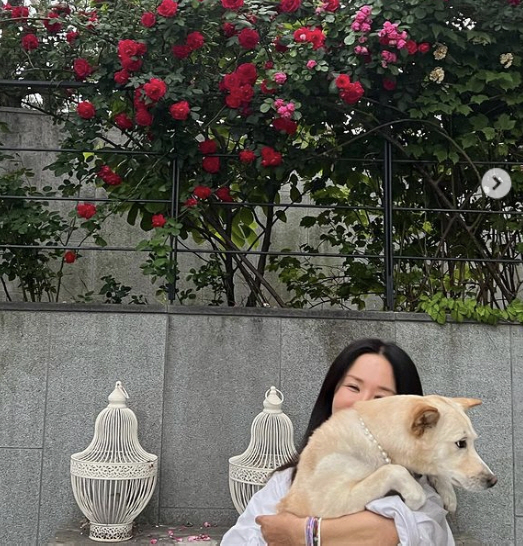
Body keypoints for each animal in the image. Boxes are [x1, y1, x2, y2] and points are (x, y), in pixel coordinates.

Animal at [277, 395, 497, 518]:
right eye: (461, 443)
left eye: (473, 441)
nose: (493, 481)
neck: (375, 439)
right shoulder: (326, 501)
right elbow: (393, 470)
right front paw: (414, 497)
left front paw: (447, 492)